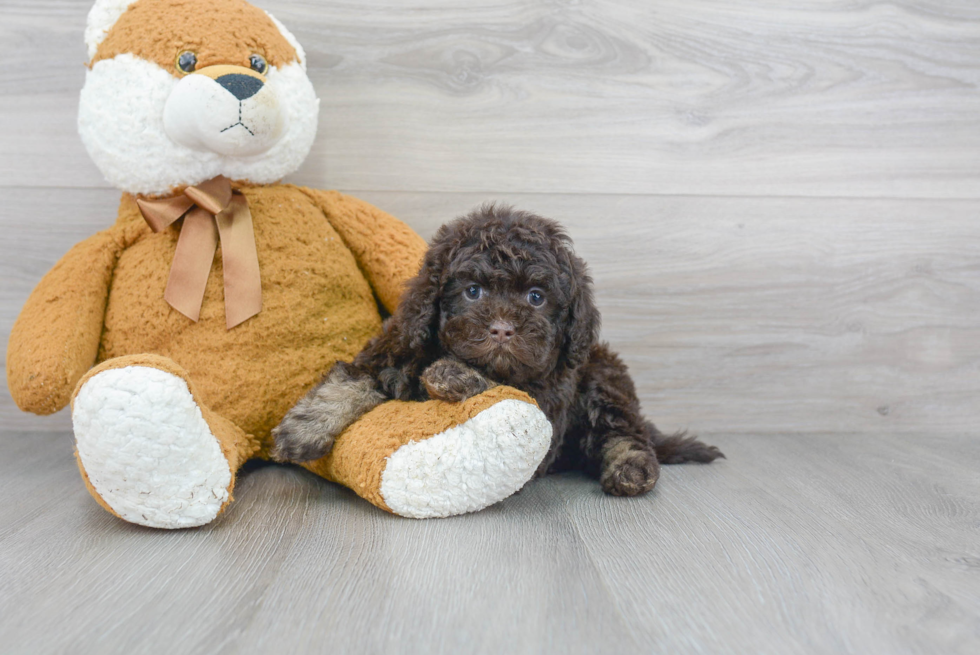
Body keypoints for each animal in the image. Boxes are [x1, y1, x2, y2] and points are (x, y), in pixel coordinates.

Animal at [272, 205, 724, 498]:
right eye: (473, 291)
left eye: (536, 297)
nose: (504, 329)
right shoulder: (393, 348)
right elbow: (348, 381)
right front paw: (303, 429)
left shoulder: (551, 403)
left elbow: (506, 390)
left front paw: (453, 375)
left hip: (603, 377)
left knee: (624, 434)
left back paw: (631, 468)